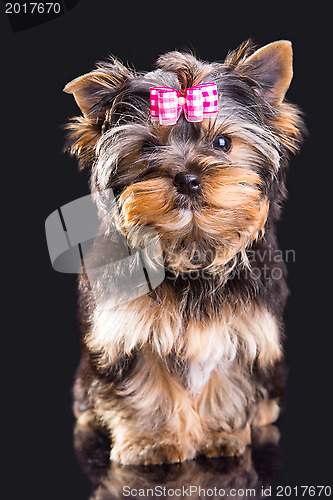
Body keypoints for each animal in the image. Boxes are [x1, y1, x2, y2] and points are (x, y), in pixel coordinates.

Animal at [63, 40, 304, 464]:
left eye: (222, 143)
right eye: (148, 147)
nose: (187, 177)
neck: (191, 250)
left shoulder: (242, 327)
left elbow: (226, 378)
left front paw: (218, 435)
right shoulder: (129, 330)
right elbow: (147, 384)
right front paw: (153, 440)